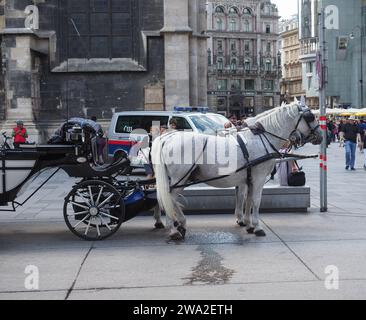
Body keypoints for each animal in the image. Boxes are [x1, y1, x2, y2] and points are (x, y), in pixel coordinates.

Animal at [150, 102, 322, 240]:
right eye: (310, 116)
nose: (320, 136)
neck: (260, 138)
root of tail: (167, 137)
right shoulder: (259, 178)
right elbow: (256, 201)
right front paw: (257, 227)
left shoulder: (249, 179)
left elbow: (248, 200)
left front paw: (248, 224)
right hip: (179, 178)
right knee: (169, 198)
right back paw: (174, 229)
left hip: (181, 179)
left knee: (170, 199)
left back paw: (180, 223)